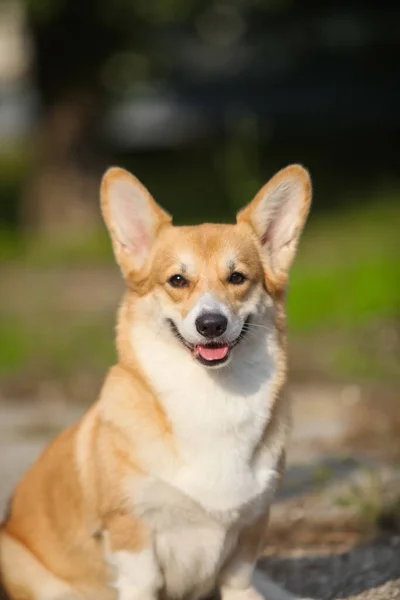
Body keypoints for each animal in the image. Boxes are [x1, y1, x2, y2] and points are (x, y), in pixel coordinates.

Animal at [0, 164, 312, 600]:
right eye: (177, 280)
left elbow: (240, 579)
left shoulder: (252, 524)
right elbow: (143, 580)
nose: (211, 324)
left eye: (237, 277)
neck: (210, 395)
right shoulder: (132, 531)